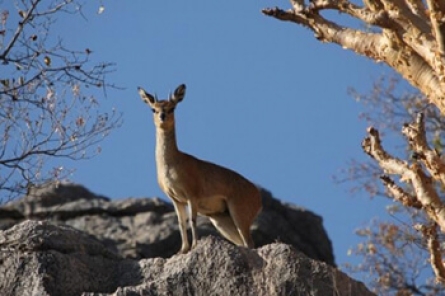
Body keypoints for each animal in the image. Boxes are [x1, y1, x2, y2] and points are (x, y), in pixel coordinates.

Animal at [138, 84, 260, 254]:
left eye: (172, 107)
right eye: (153, 109)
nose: (162, 116)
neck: (171, 164)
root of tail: (258, 198)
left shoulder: (191, 196)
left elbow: (192, 220)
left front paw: (195, 245)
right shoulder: (176, 199)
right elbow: (181, 223)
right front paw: (183, 249)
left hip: (239, 215)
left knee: (250, 243)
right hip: (221, 220)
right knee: (244, 242)